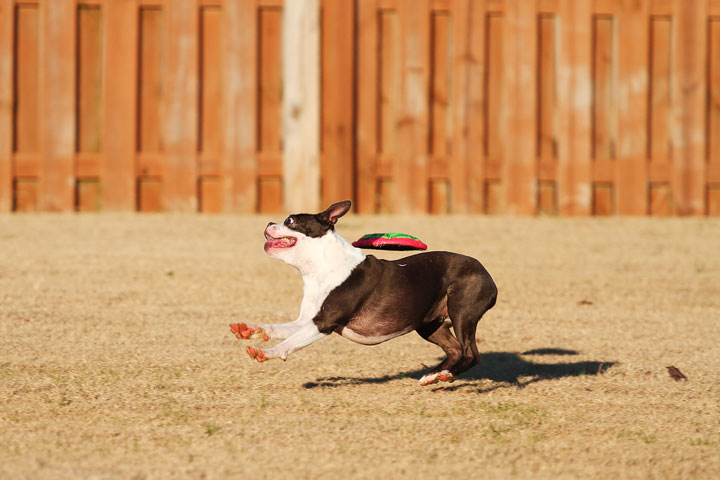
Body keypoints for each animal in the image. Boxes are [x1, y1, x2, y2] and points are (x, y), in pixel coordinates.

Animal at [231, 202, 496, 386]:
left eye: (290, 220)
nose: (268, 223)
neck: (320, 266)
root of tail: (488, 275)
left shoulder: (323, 323)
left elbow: (290, 342)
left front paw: (267, 352)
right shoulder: (307, 320)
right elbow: (278, 328)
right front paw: (251, 330)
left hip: (461, 310)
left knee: (471, 353)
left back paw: (444, 375)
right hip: (430, 323)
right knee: (455, 350)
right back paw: (433, 376)